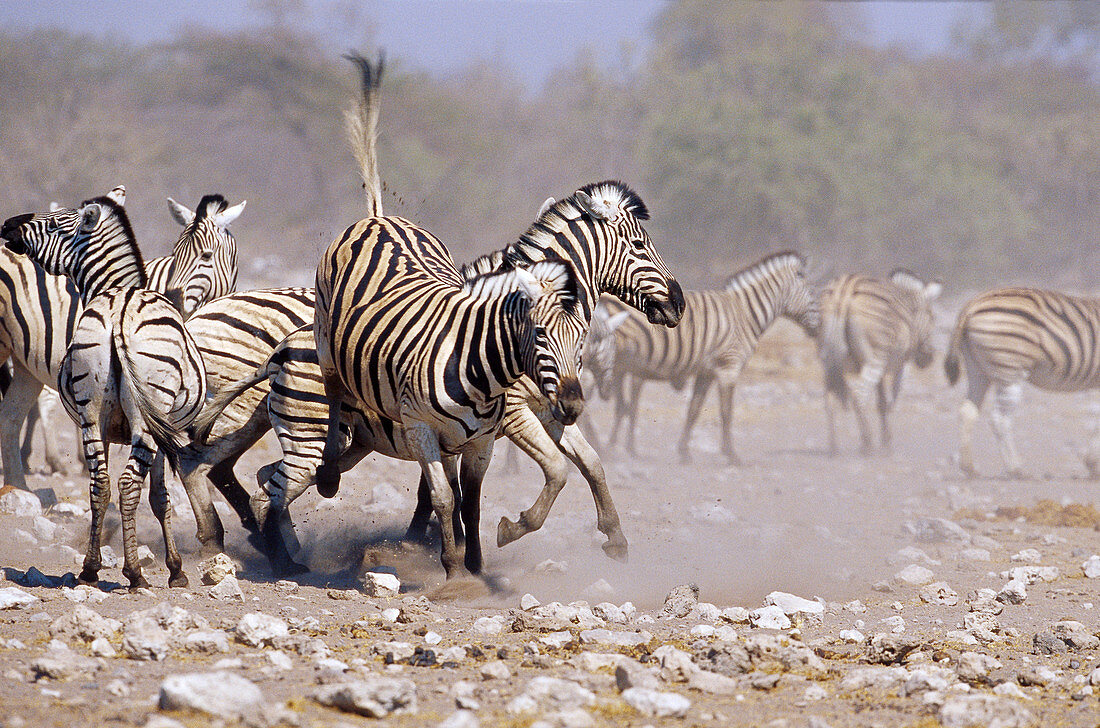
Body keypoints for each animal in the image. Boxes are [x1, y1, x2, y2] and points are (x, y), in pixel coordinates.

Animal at [0, 188, 242, 490]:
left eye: (207, 256)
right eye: (175, 254)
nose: (175, 298)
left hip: (25, 365)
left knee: (11, 418)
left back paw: (19, 484)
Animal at [2, 195, 210, 593]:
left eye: (54, 224)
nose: (7, 225)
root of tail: (118, 312)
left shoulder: (109, 427)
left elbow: (111, 489)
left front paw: (97, 562)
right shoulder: (160, 430)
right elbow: (159, 498)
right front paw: (175, 569)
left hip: (89, 411)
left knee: (98, 484)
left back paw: (89, 569)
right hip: (146, 417)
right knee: (128, 485)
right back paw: (135, 574)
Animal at [602, 254, 818, 464]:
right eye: (812, 294)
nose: (817, 328)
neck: (744, 314)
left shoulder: (706, 371)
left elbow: (694, 410)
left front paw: (684, 452)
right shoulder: (729, 367)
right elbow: (727, 412)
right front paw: (731, 455)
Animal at [822, 270, 941, 457]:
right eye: (932, 317)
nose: (929, 358)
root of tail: (845, 289)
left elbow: (881, 403)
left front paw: (885, 441)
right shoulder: (893, 365)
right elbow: (886, 402)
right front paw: (887, 443)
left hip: (828, 358)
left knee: (830, 400)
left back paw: (834, 448)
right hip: (874, 359)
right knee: (860, 394)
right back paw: (867, 444)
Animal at [941, 288, 1100, 481]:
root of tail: (973, 304)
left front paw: (1093, 465)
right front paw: (1094, 466)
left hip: (977, 370)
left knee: (967, 412)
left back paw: (969, 468)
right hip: (1010, 373)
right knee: (999, 420)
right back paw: (1016, 469)